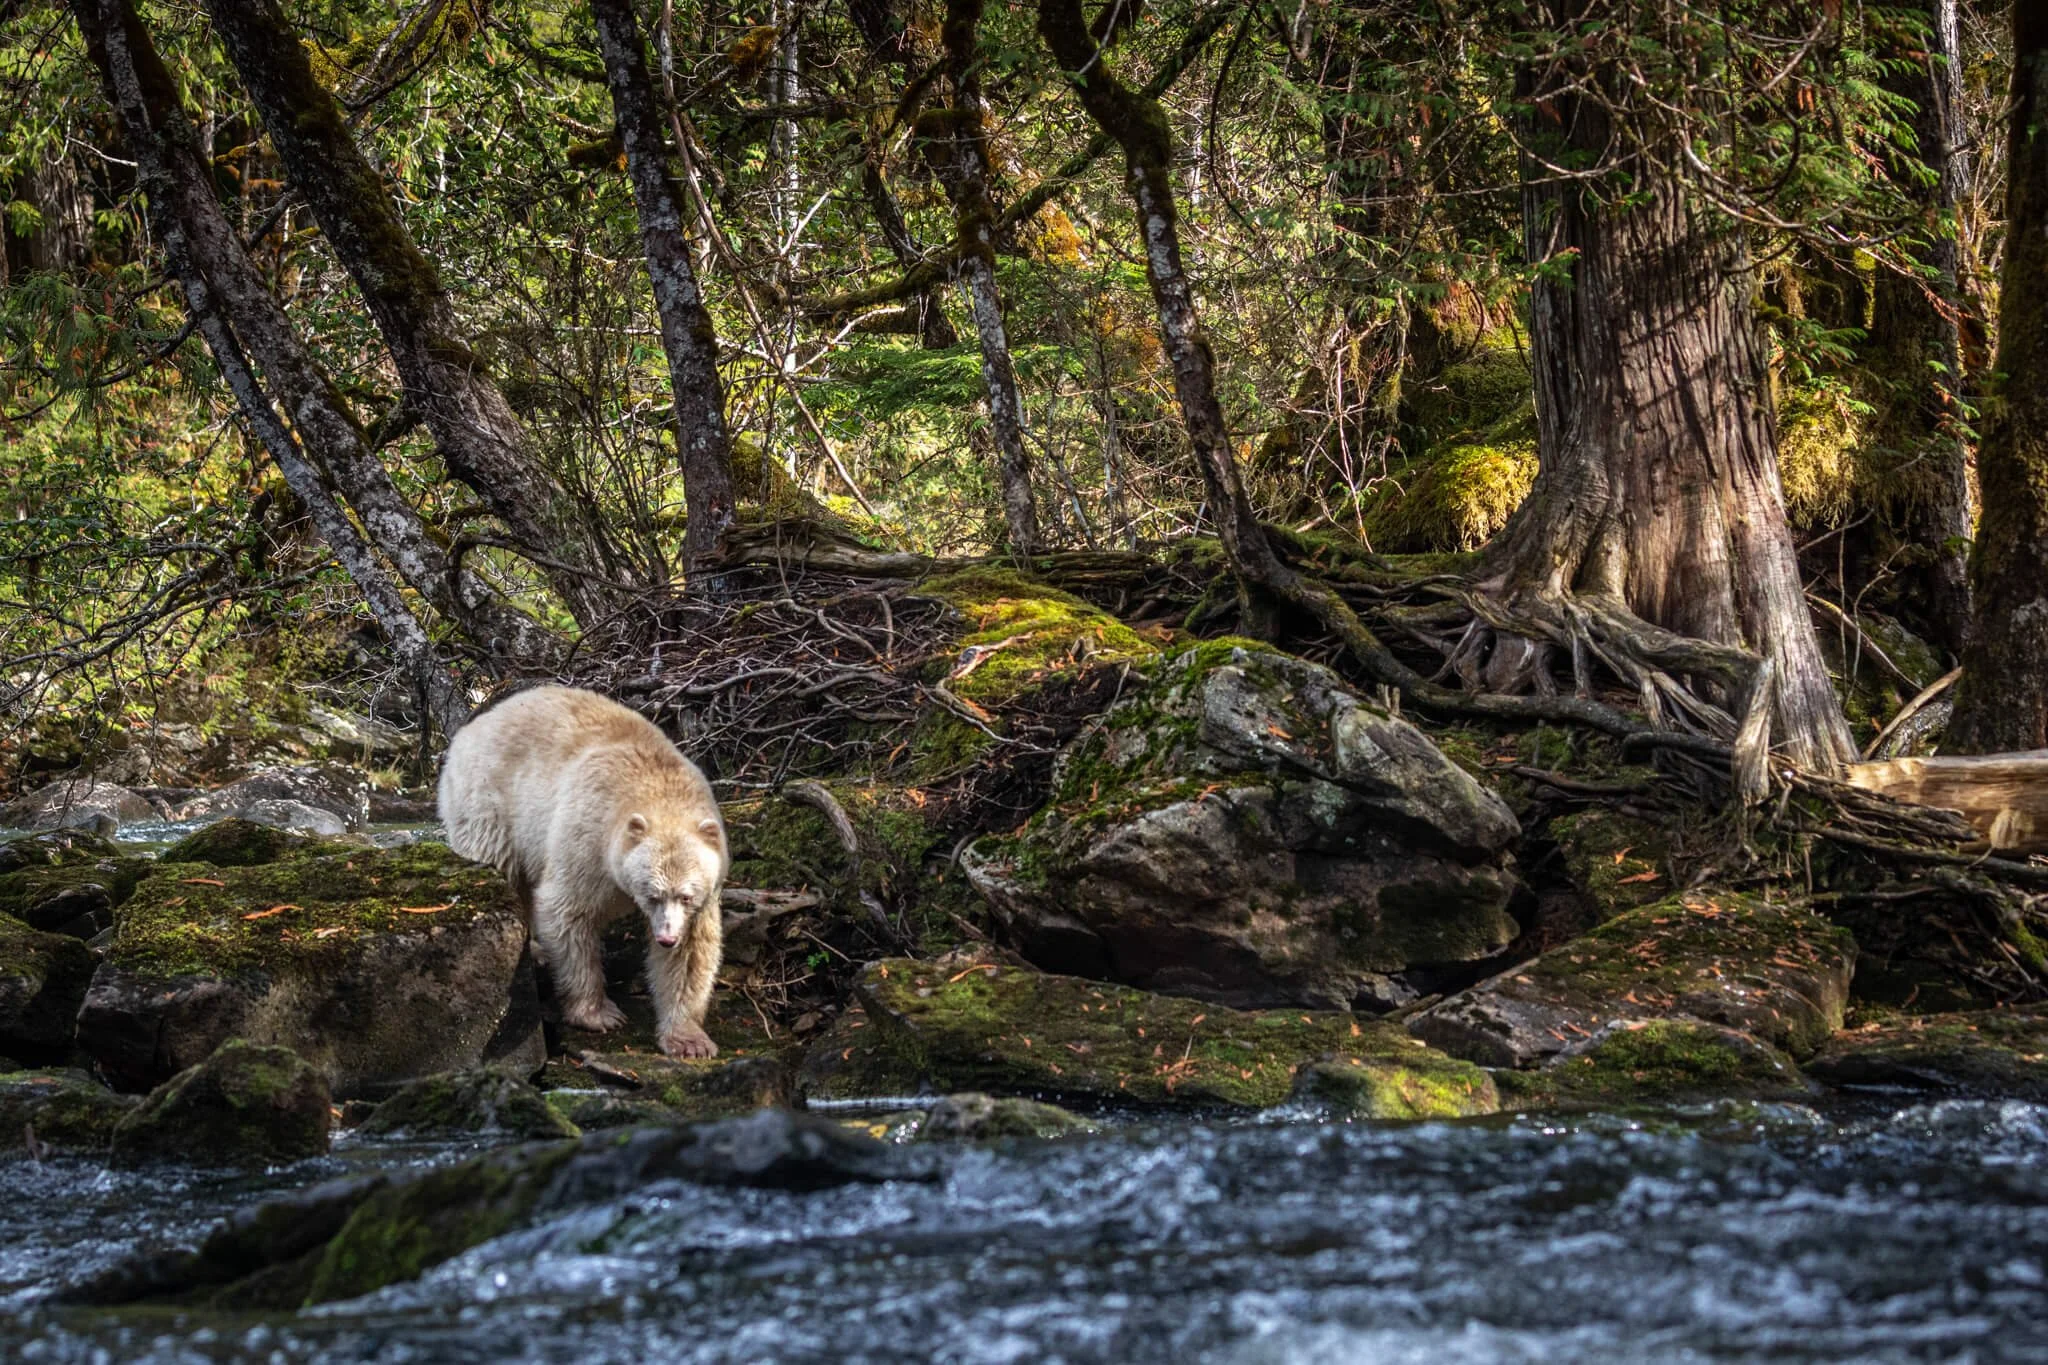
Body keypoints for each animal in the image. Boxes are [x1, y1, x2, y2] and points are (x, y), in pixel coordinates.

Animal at [437, 685, 728, 1059]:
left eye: (686, 896)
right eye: (651, 894)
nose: (665, 938)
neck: (656, 786)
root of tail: (471, 728)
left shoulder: (706, 887)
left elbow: (691, 951)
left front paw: (689, 1040)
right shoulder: (587, 836)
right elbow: (567, 912)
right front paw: (598, 1014)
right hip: (489, 800)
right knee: (503, 865)